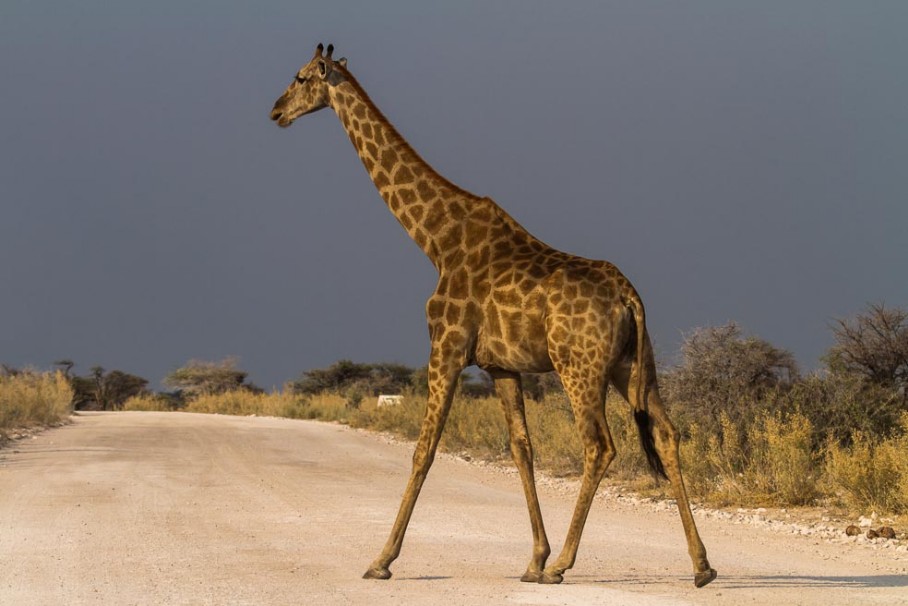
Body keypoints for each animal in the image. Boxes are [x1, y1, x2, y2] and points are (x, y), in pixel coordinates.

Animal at [270, 41, 716, 588]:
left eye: (301, 77)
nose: (275, 111)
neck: (435, 240)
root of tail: (630, 297)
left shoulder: (445, 345)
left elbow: (424, 448)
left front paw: (382, 560)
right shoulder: (501, 365)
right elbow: (522, 448)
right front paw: (534, 558)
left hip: (579, 366)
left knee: (599, 445)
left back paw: (566, 564)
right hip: (631, 364)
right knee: (668, 433)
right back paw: (701, 566)